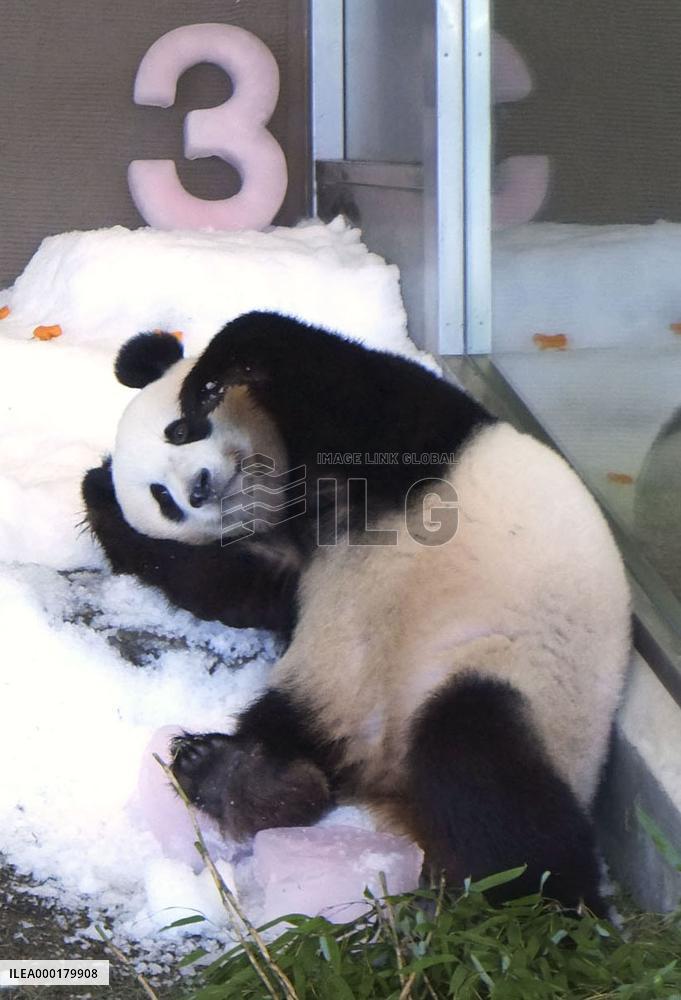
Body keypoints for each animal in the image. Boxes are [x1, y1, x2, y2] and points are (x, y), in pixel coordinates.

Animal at [82, 310, 631, 913]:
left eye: (179, 431)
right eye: (163, 499)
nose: (199, 490)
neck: (290, 497)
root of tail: (386, 773)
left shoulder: (410, 440)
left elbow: (341, 381)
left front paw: (212, 377)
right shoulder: (284, 570)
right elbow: (226, 588)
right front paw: (99, 488)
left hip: (523, 681)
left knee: (480, 760)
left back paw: (536, 906)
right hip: (331, 684)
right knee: (311, 736)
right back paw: (237, 777)